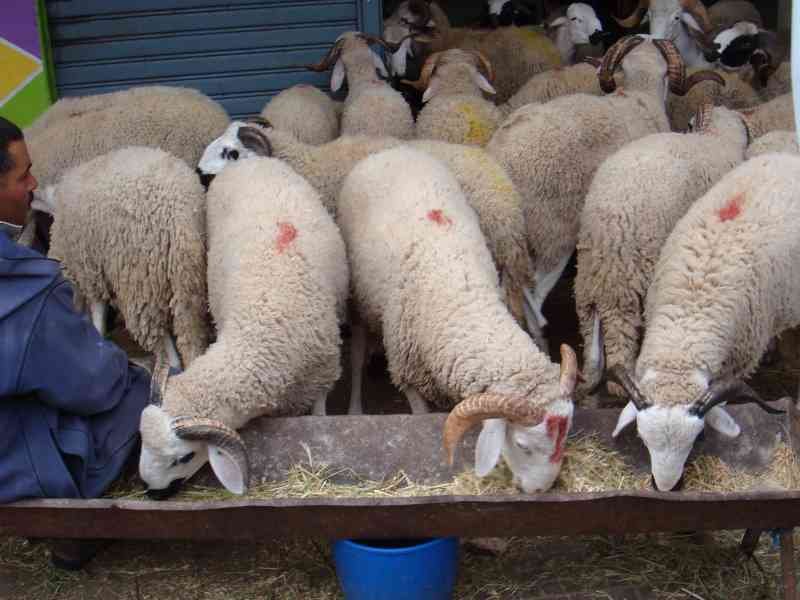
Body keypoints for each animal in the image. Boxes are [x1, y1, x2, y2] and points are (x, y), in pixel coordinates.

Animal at [37, 146, 209, 370]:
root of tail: (178, 221)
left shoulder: (88, 269)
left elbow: (97, 310)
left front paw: (98, 333)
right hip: (188, 282)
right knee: (191, 335)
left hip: (141, 284)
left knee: (162, 341)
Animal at [139, 156, 349, 496]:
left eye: (183, 458)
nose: (152, 493)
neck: (259, 333)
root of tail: (249, 162)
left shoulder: (322, 376)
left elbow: (320, 415)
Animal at [337, 145, 578, 493]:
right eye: (523, 445)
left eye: (565, 435)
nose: (540, 491)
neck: (463, 297)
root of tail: (392, 150)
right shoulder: (406, 365)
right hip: (358, 297)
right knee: (356, 353)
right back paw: (355, 407)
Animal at [574, 104, 750, 401]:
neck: (718, 139)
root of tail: (608, 230)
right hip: (631, 274)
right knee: (622, 332)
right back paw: (622, 384)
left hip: (590, 279)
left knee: (591, 331)